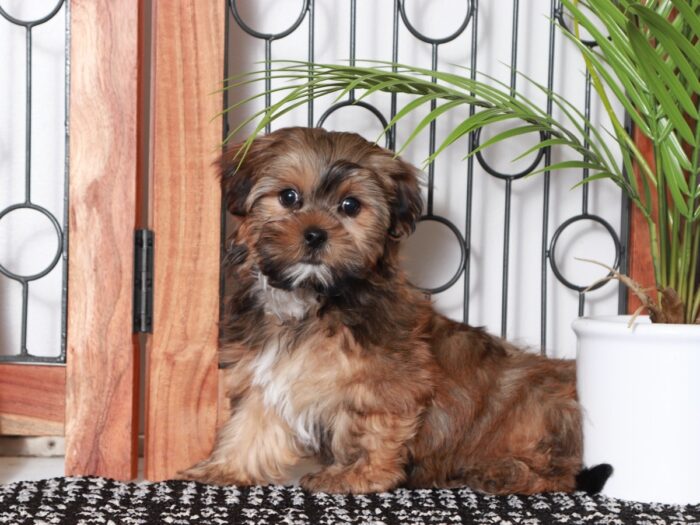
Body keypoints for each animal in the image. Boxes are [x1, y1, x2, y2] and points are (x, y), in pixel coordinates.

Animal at [185, 125, 584, 494]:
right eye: (288, 197)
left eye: (350, 206)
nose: (315, 234)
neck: (315, 302)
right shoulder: (266, 370)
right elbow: (252, 423)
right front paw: (224, 467)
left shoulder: (385, 382)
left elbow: (370, 428)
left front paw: (355, 475)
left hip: (537, 406)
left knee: (558, 470)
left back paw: (501, 471)